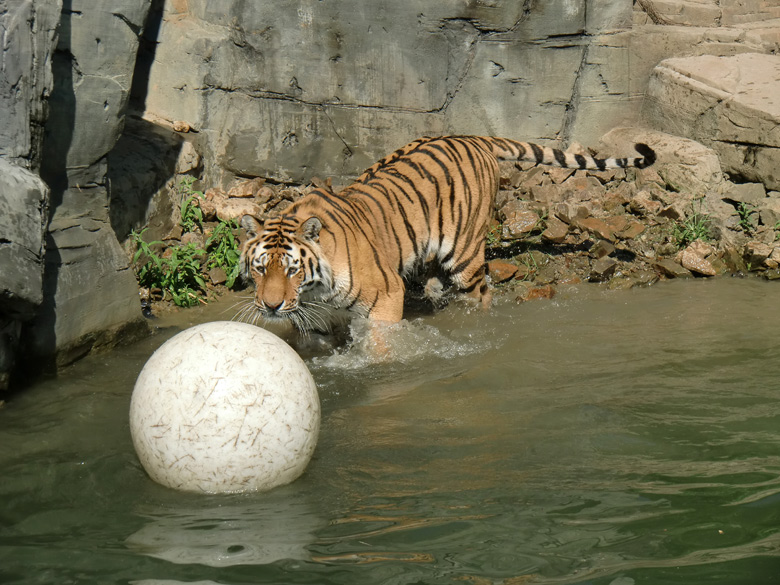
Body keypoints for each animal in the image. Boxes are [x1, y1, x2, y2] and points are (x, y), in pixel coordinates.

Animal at [241, 135, 656, 330]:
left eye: (292, 269)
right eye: (260, 269)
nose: (270, 306)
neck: (315, 290)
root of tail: (476, 137)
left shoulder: (386, 296)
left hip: (465, 254)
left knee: (482, 294)